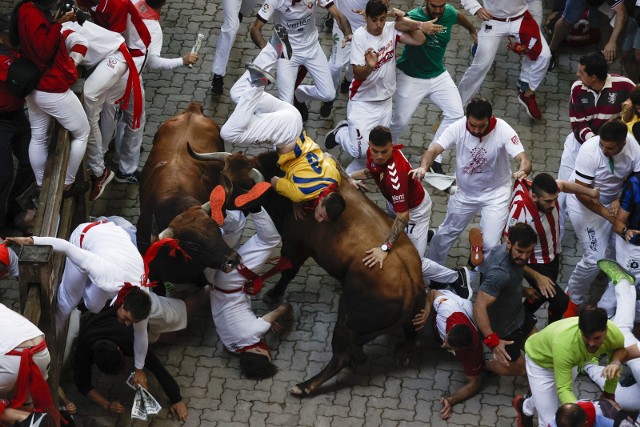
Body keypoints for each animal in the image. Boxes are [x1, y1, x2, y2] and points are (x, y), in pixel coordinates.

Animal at [188, 148, 428, 398]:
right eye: (222, 176)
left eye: (243, 188)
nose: (216, 212)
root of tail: (409, 284)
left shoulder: (296, 246)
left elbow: (288, 270)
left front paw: (273, 294)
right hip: (410, 316)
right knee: (412, 339)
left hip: (347, 317)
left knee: (343, 355)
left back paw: (304, 386)